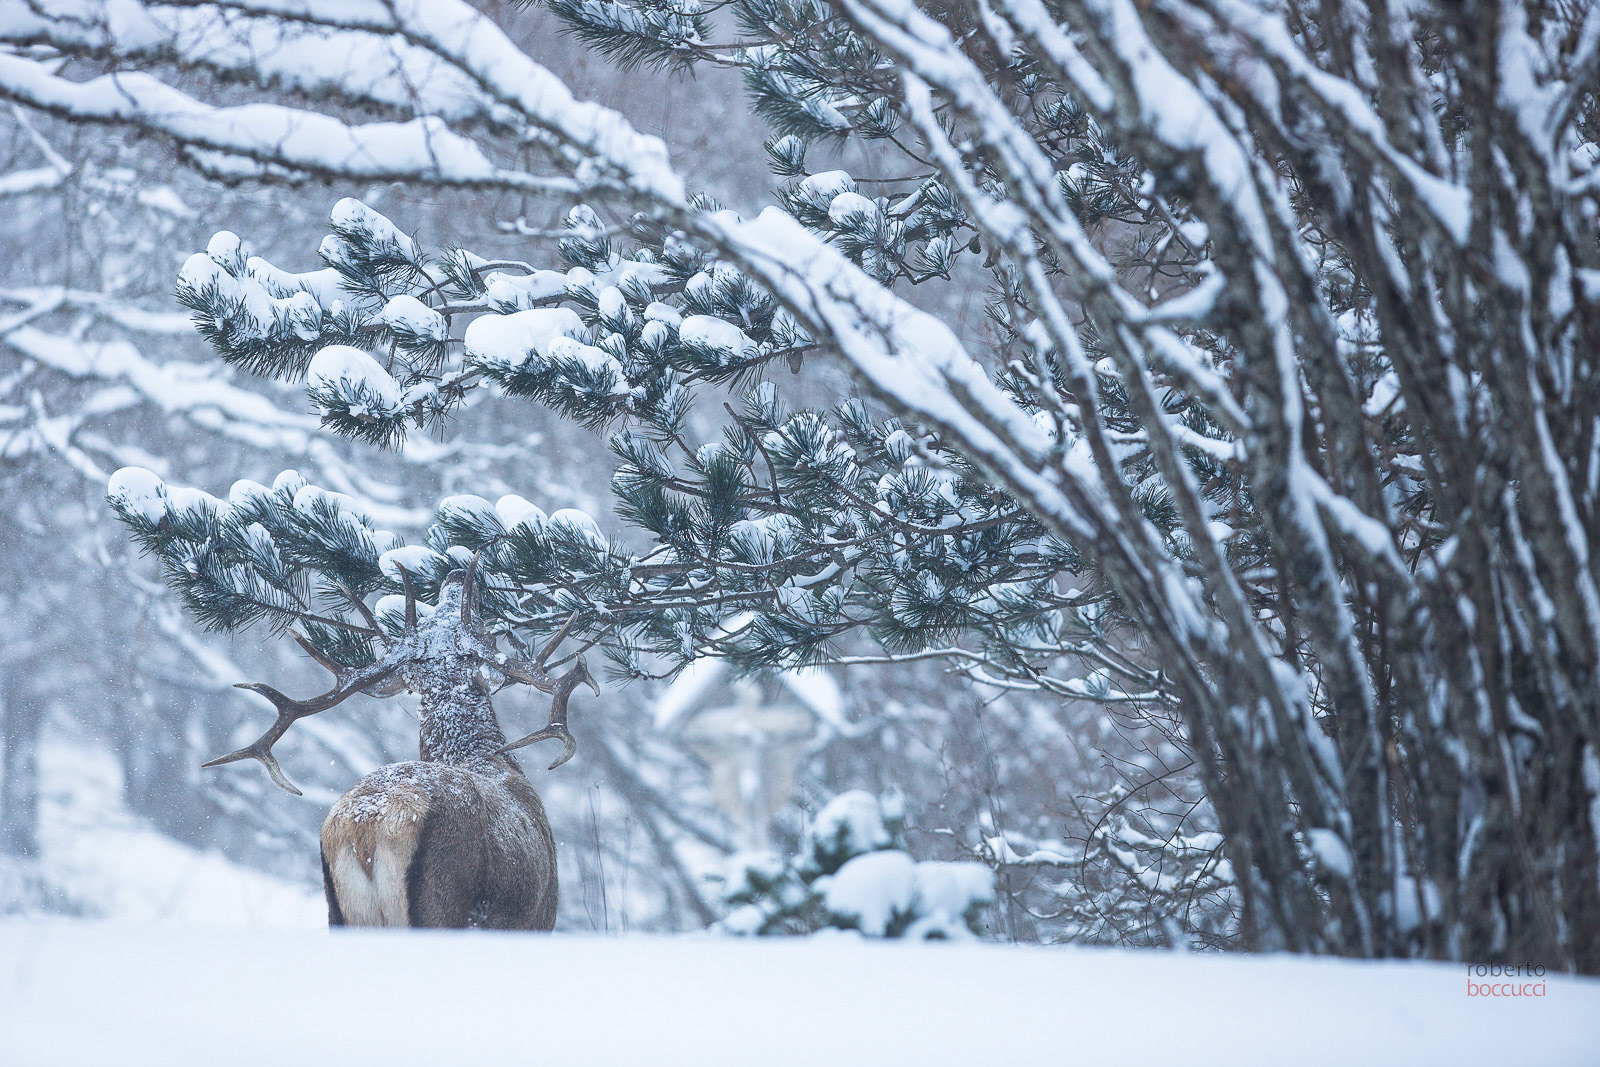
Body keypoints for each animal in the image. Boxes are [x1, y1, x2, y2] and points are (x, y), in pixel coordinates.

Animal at [201, 554, 597, 930]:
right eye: (479, 627)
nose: (455, 574)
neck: (485, 757)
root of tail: (365, 826)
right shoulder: (540, 917)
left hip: (342, 912)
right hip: (441, 904)